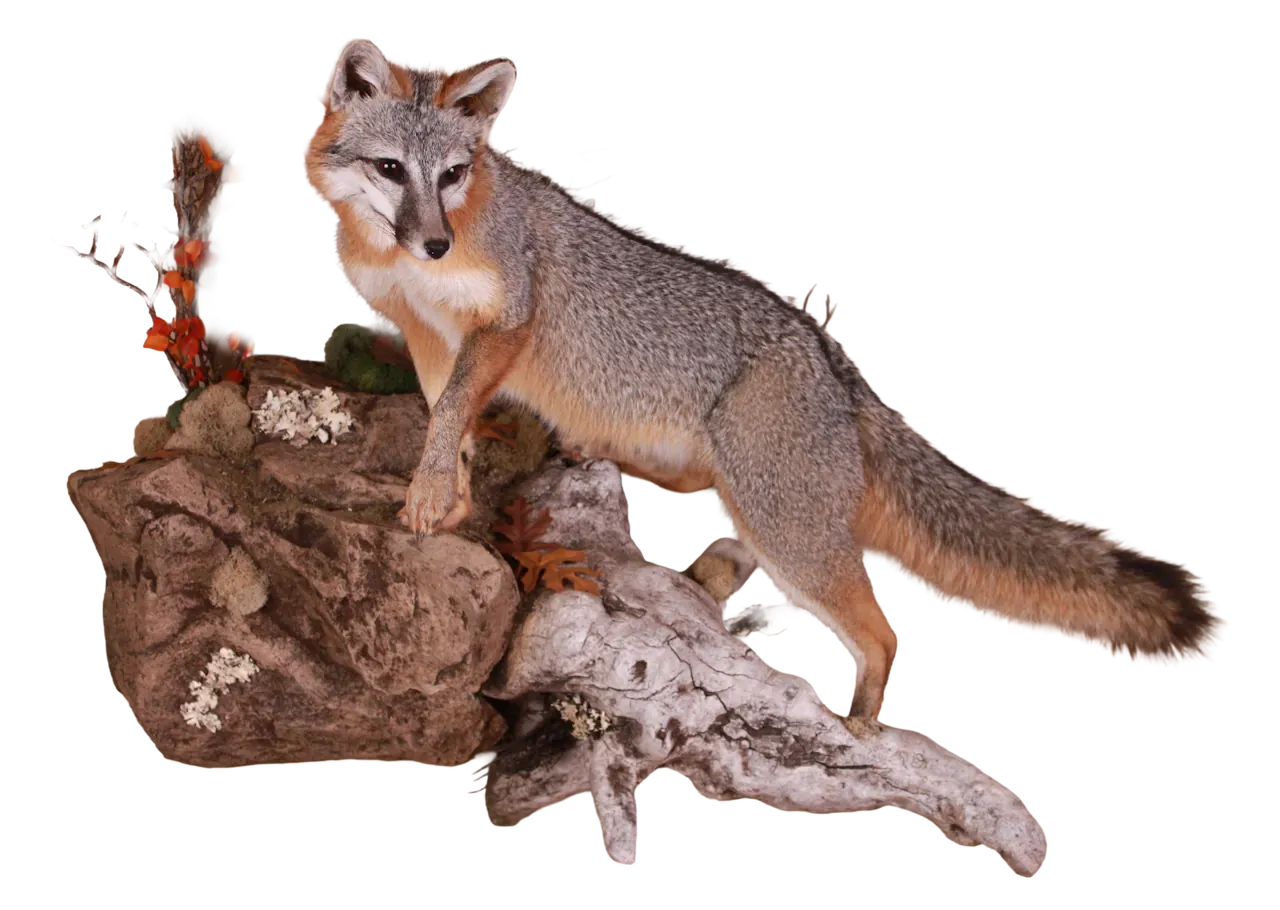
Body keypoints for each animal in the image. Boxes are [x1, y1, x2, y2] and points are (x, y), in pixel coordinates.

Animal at [300, 38, 1230, 733]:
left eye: (452, 174)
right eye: (392, 169)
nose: (432, 241)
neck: (418, 268)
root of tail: (835, 360)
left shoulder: (506, 320)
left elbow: (459, 400)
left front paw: (434, 487)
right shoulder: (427, 332)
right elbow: (443, 410)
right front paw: (447, 483)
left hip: (790, 532)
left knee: (882, 631)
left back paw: (862, 730)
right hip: (749, 502)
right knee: (709, 507)